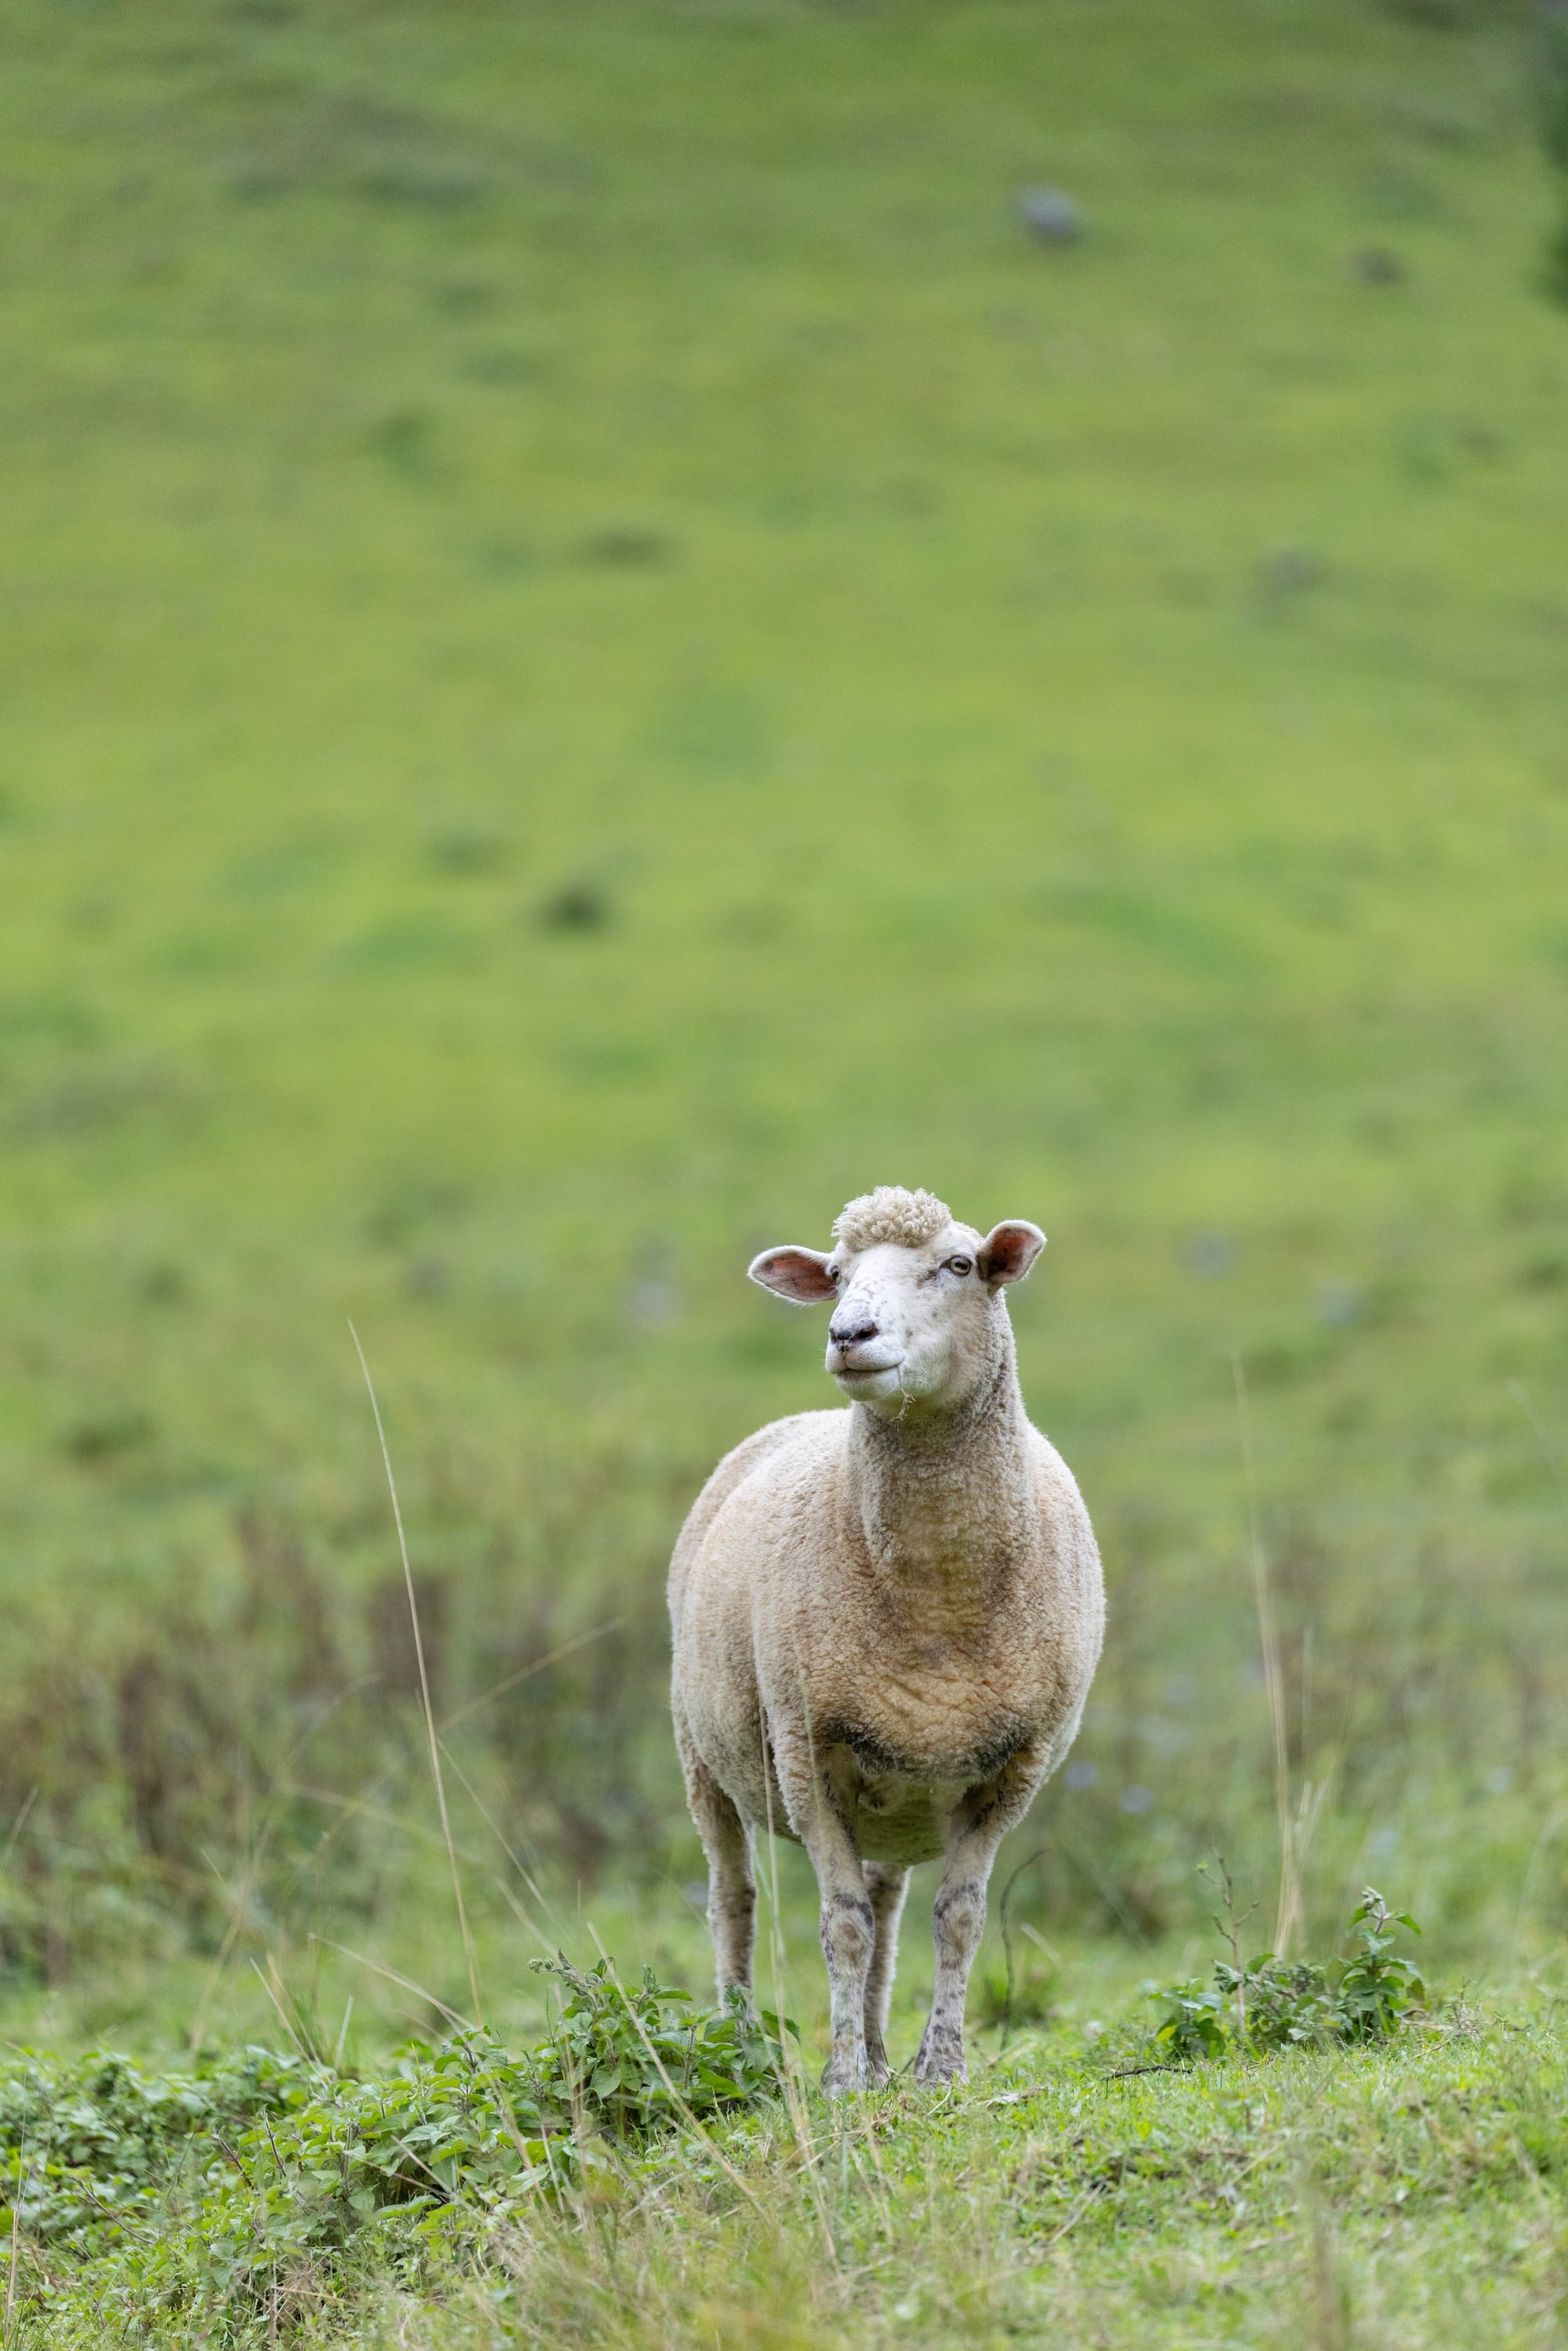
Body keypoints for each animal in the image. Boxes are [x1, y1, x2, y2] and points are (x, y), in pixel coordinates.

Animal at [668, 1185, 1104, 2094]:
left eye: (959, 1265)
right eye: (836, 1275)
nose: (849, 1335)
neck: (939, 1606)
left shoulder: (1012, 1767)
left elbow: (957, 1920)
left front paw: (940, 2067)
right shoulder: (807, 1751)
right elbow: (841, 1926)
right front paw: (839, 2080)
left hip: (899, 1792)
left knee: (889, 1902)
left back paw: (875, 2050)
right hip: (703, 1752)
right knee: (734, 1899)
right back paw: (741, 2045)